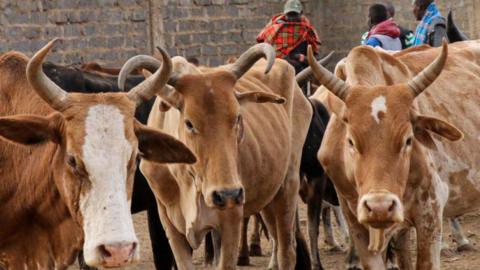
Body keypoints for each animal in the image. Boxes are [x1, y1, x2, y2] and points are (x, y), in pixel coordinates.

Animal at [118, 43, 314, 268]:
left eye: (237, 117)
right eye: (189, 123)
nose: (227, 194)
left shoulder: (230, 221)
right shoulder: (170, 225)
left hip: (287, 186)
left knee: (287, 252)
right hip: (268, 195)